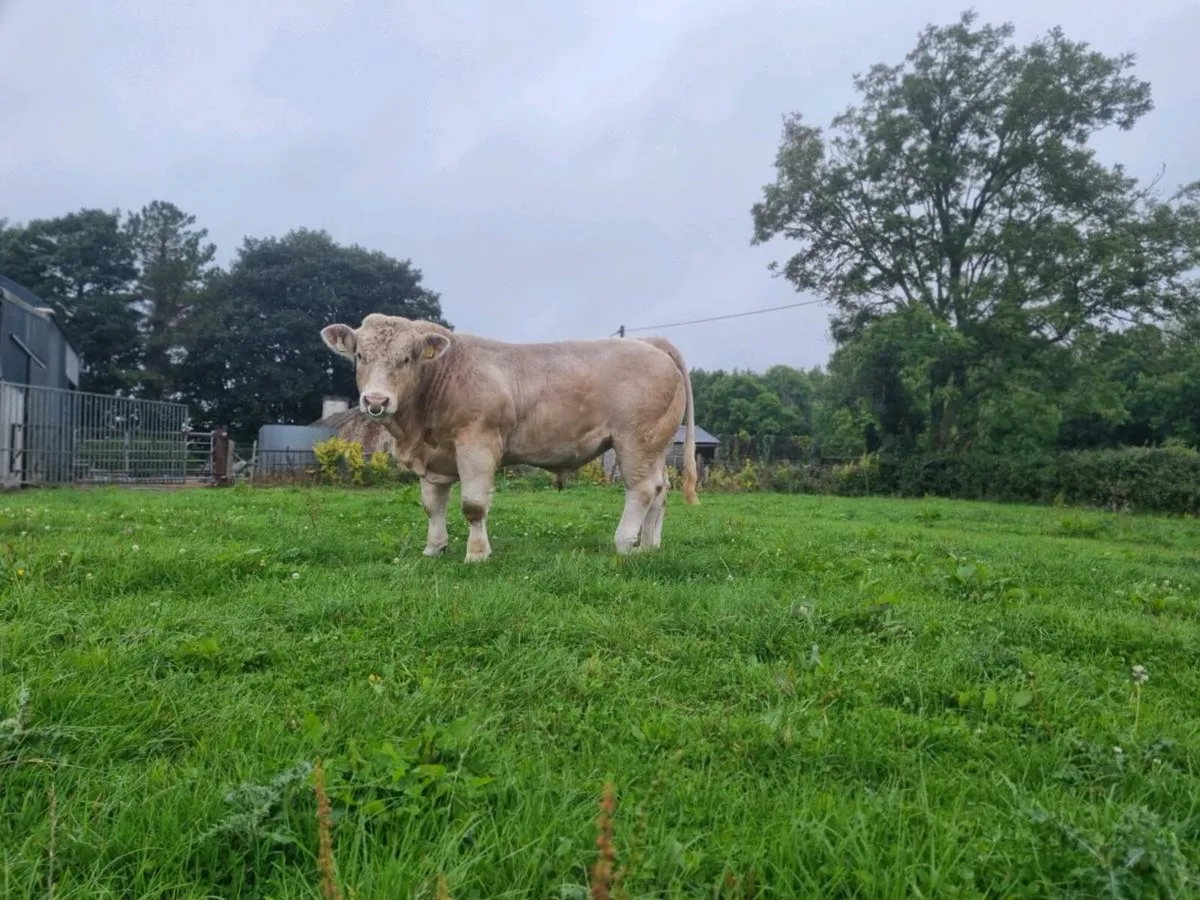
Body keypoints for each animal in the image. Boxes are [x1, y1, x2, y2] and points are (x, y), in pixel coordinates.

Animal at [319, 314, 698, 562]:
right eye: (360, 356)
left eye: (407, 358)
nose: (376, 400)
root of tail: (651, 344)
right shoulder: (434, 458)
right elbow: (432, 505)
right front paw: (434, 548)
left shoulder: (478, 444)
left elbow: (473, 504)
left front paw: (477, 554)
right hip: (657, 444)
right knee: (660, 490)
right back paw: (648, 545)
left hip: (635, 441)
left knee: (642, 489)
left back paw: (624, 543)